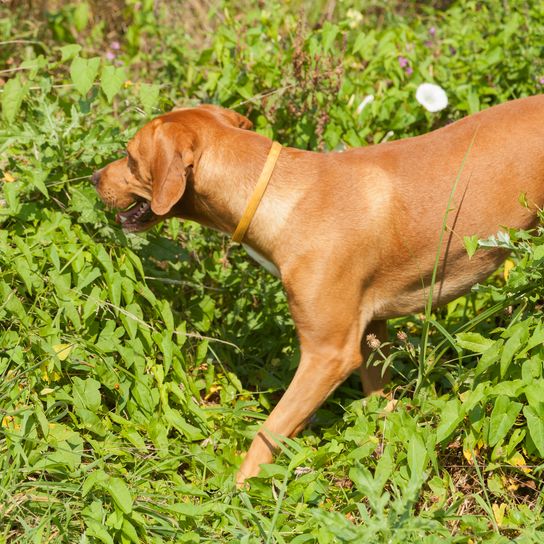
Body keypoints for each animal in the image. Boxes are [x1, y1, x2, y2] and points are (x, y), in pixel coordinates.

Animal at [93, 98, 544, 484]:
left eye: (130, 157)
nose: (95, 178)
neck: (282, 197)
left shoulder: (327, 355)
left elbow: (268, 432)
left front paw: (237, 496)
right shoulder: (370, 334)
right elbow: (380, 408)